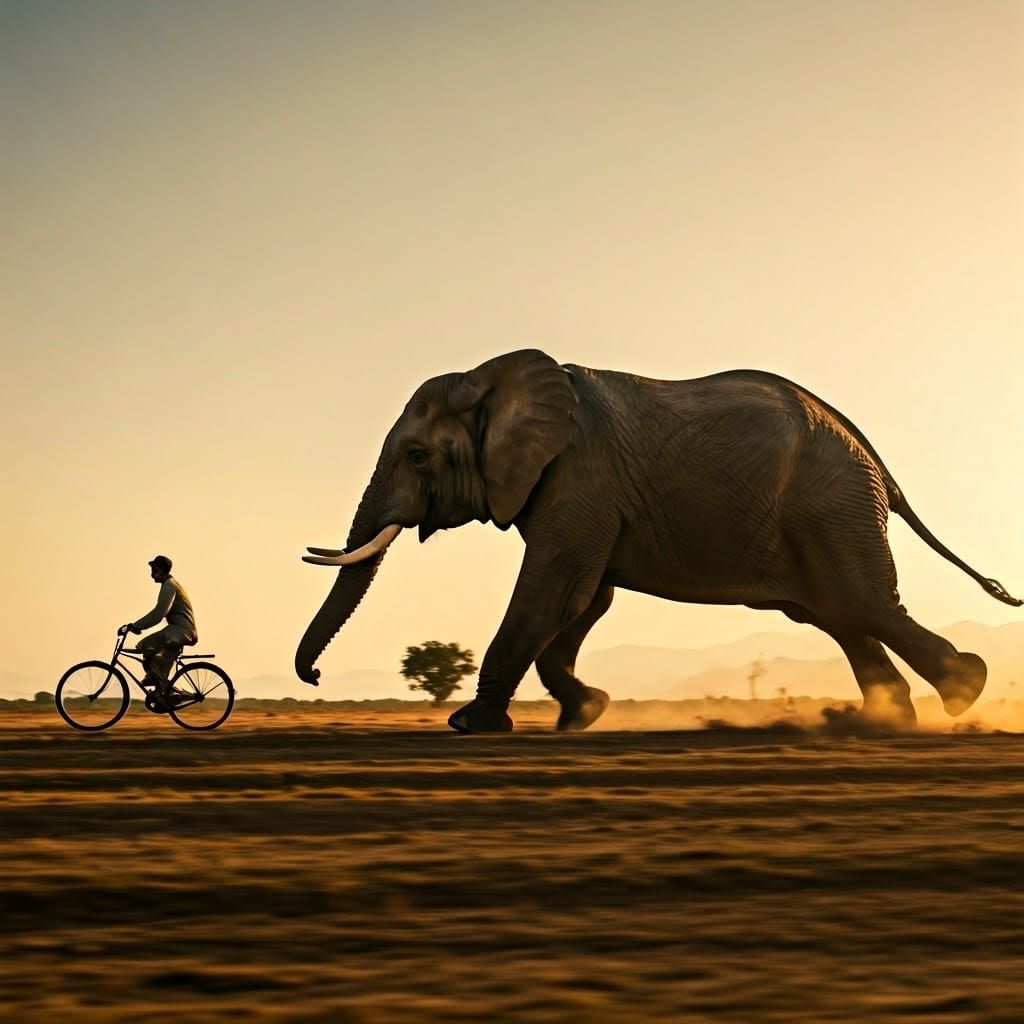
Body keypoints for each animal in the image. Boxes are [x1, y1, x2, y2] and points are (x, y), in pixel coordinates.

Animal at [295, 349, 1021, 732]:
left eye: (417, 456)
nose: (318, 675)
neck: (493, 378)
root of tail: (866, 448)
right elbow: (586, 600)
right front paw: (584, 715)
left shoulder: (579, 477)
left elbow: (555, 588)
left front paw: (471, 727)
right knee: (836, 613)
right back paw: (887, 719)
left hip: (829, 502)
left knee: (859, 602)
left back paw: (966, 692)